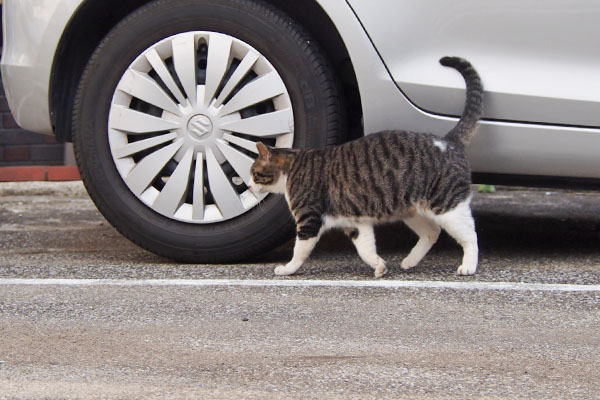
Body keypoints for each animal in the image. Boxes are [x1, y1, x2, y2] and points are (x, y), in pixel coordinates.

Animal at [247, 56, 482, 276]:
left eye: (254, 173)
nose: (248, 185)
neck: (292, 168)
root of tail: (448, 140)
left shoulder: (309, 219)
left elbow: (299, 251)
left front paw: (287, 269)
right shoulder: (355, 222)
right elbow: (366, 249)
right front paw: (379, 267)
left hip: (447, 206)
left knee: (470, 235)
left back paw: (468, 265)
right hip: (412, 211)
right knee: (432, 232)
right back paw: (409, 261)